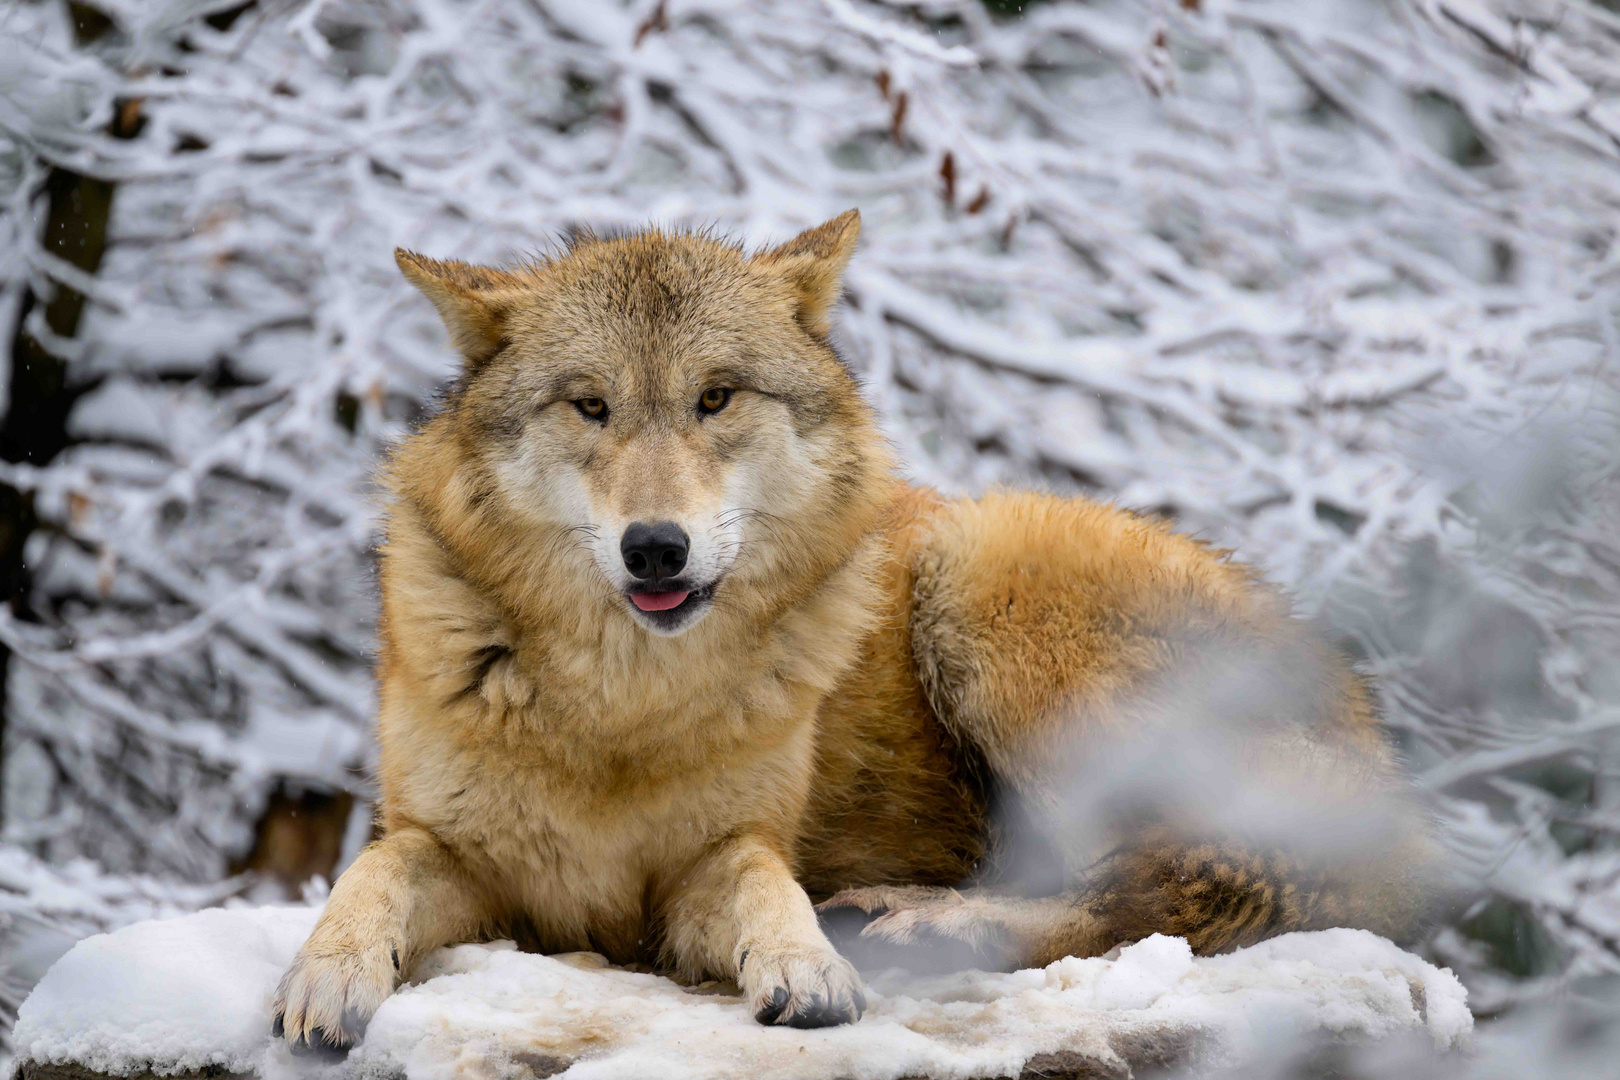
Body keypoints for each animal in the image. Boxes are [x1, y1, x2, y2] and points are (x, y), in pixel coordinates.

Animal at [272, 207, 1438, 1049]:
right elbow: (371, 874)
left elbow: (761, 881)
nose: (656, 549)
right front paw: (324, 975)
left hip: (983, 575)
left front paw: (806, 965)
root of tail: (1381, 761)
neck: (625, 705)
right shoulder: (454, 852)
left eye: (716, 398)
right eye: (589, 406)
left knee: (1172, 890)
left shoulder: (709, 866)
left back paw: (929, 918)